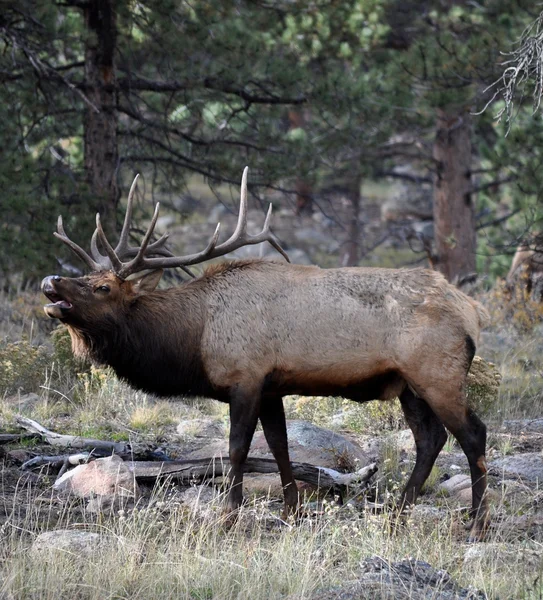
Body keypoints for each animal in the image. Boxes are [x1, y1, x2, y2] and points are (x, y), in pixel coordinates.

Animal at [41, 168, 492, 540]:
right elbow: (279, 446)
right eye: (86, 275)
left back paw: (476, 523)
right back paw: (398, 514)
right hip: (407, 385)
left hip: (438, 374)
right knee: (430, 439)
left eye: (103, 287)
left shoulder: (245, 377)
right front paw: (292, 511)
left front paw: (228, 516)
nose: (51, 281)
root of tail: (473, 311)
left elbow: (237, 448)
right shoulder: (272, 386)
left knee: (473, 435)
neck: (194, 339)